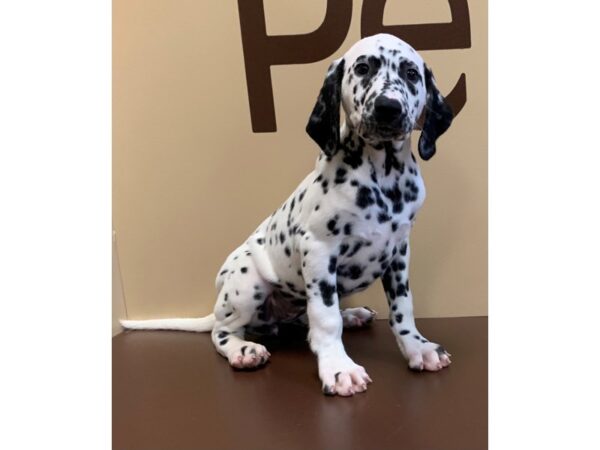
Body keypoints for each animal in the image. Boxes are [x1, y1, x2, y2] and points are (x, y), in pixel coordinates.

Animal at [124, 33, 458, 396]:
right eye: (363, 68)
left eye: (411, 74)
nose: (388, 108)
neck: (383, 174)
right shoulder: (319, 250)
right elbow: (326, 318)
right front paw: (338, 367)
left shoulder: (398, 252)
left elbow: (402, 308)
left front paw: (417, 348)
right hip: (247, 283)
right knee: (223, 332)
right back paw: (243, 350)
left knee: (304, 321)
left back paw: (352, 314)